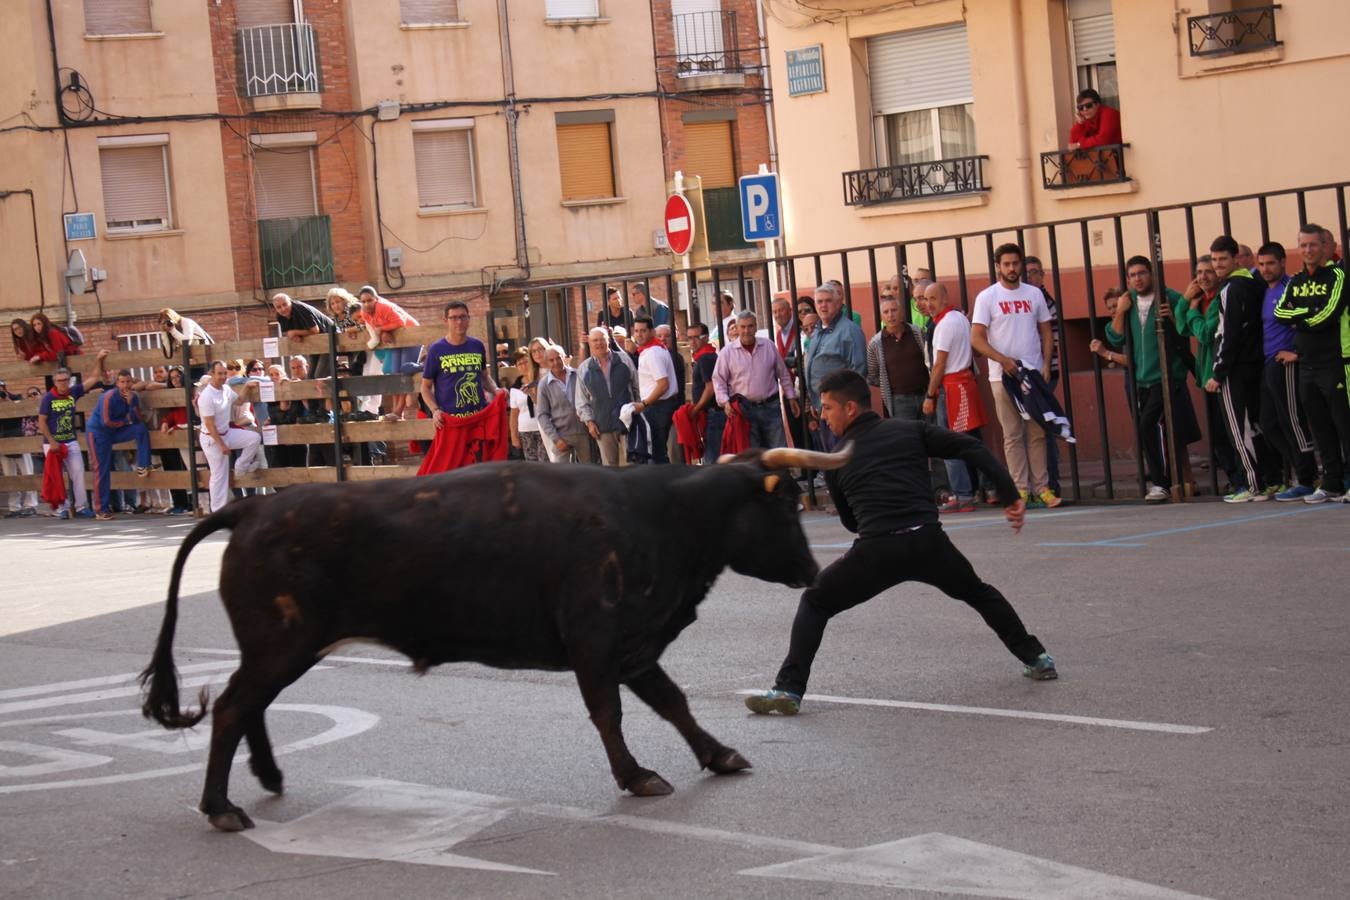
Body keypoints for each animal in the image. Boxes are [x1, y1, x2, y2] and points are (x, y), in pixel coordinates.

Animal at [142, 447, 847, 836]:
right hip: (280, 644)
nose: (813, 572)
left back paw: (267, 776)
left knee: (249, 707)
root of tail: (253, 508)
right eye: (785, 506)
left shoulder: (634, 647)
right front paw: (637, 775)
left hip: (281, 649)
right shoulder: (596, 641)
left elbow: (673, 702)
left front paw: (720, 755)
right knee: (233, 707)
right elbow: (609, 712)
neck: (662, 516)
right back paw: (221, 806)